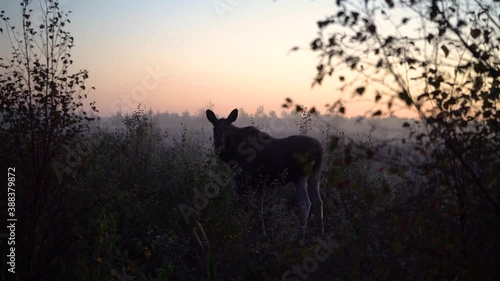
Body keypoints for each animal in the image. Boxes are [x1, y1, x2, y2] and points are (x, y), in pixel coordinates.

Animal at [204, 108, 324, 237]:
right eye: (214, 129)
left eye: (227, 129)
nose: (219, 145)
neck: (232, 152)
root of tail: (319, 149)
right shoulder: (259, 182)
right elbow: (259, 207)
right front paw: (262, 232)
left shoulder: (242, 178)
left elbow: (244, 205)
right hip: (315, 175)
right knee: (318, 202)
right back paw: (320, 232)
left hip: (300, 176)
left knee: (305, 203)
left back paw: (300, 235)